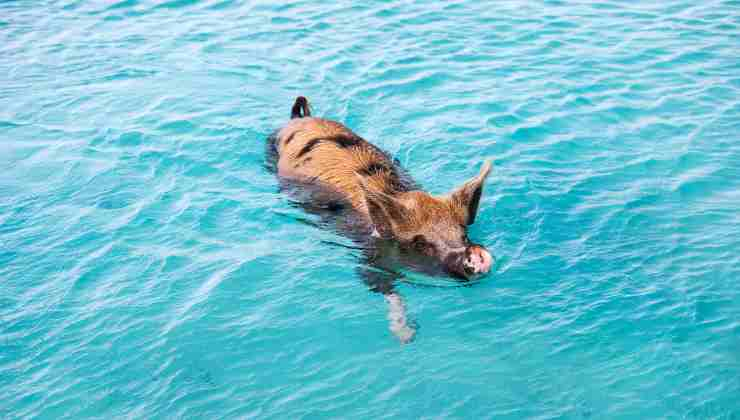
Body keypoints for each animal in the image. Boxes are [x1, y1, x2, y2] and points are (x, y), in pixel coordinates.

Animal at [264, 97, 494, 342]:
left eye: (463, 234)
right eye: (419, 242)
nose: (473, 254)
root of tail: (301, 118)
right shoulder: (368, 252)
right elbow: (376, 283)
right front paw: (406, 335)